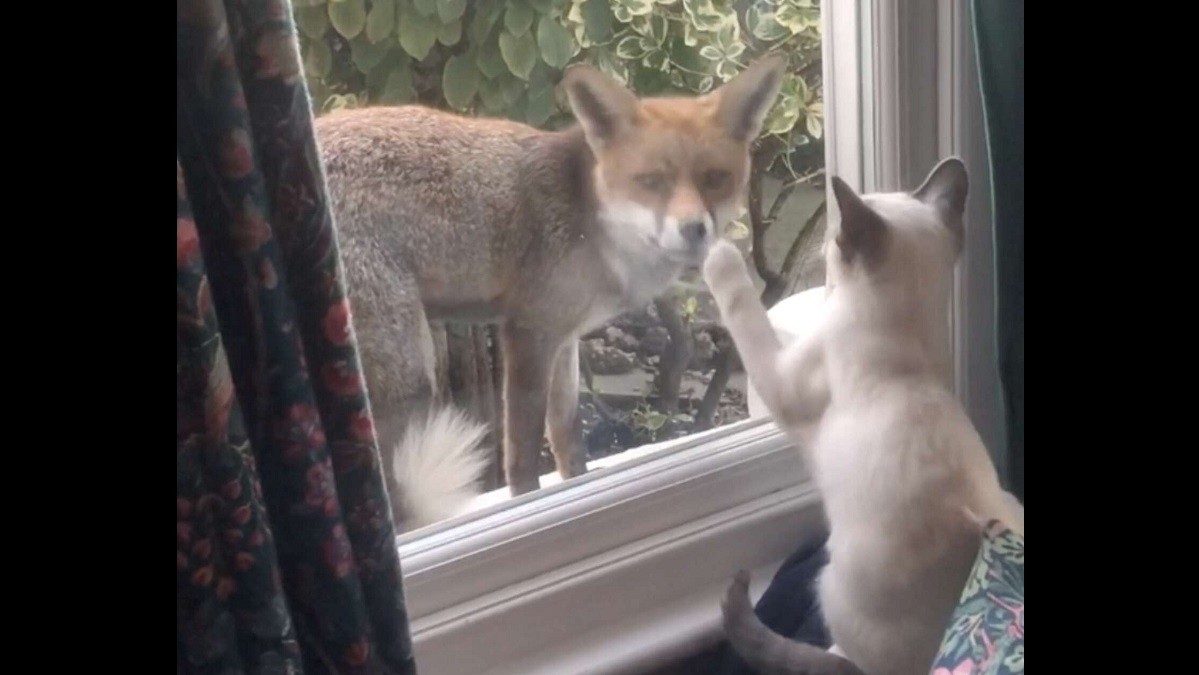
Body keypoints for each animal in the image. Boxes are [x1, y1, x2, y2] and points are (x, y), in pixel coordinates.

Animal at [314, 56, 791, 534]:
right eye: (651, 181)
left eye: (715, 179)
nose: (694, 229)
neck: (595, 225)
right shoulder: (528, 332)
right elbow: (523, 453)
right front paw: (527, 506)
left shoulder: (564, 337)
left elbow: (566, 434)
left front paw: (575, 487)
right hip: (408, 371)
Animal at [705, 159, 1026, 675]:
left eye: (834, 243)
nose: (824, 251)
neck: (910, 353)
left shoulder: (782, 379)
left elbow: (745, 309)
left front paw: (719, 249)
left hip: (831, 583)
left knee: (848, 655)